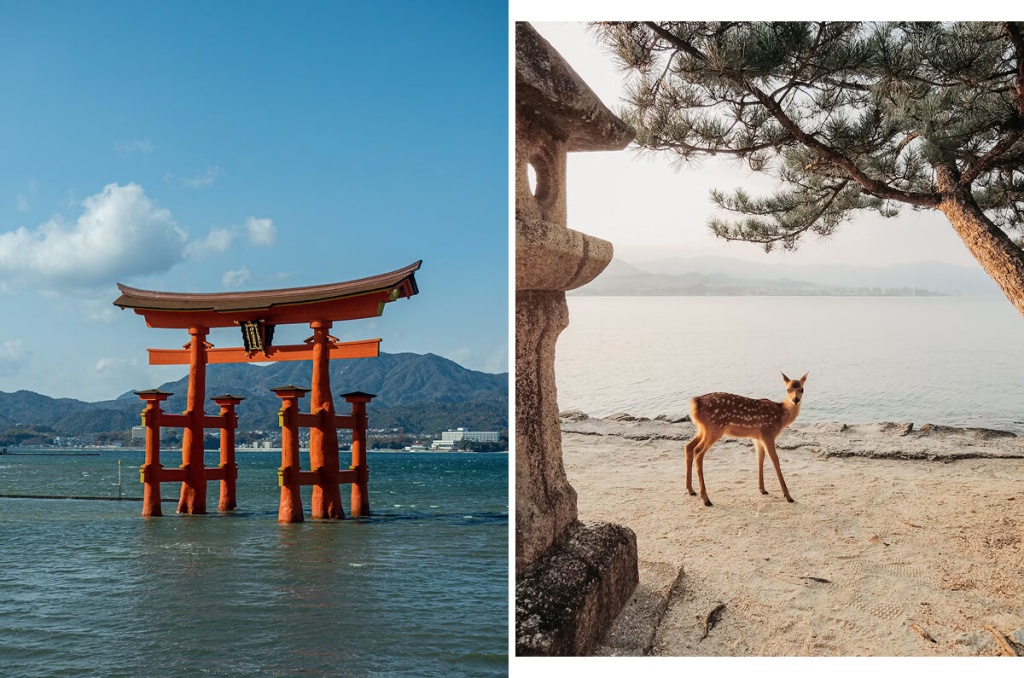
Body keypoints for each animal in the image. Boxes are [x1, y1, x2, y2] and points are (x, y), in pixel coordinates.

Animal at [684, 372, 808, 507]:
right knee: (698, 452)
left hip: (703, 429)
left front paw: (762, 489)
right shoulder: (768, 433)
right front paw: (789, 496)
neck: (781, 417)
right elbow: (775, 461)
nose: (795, 400)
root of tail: (694, 403)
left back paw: (691, 490)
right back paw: (706, 499)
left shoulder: (758, 438)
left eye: (802, 389)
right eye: (788, 389)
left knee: (689, 446)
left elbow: (760, 459)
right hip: (715, 428)